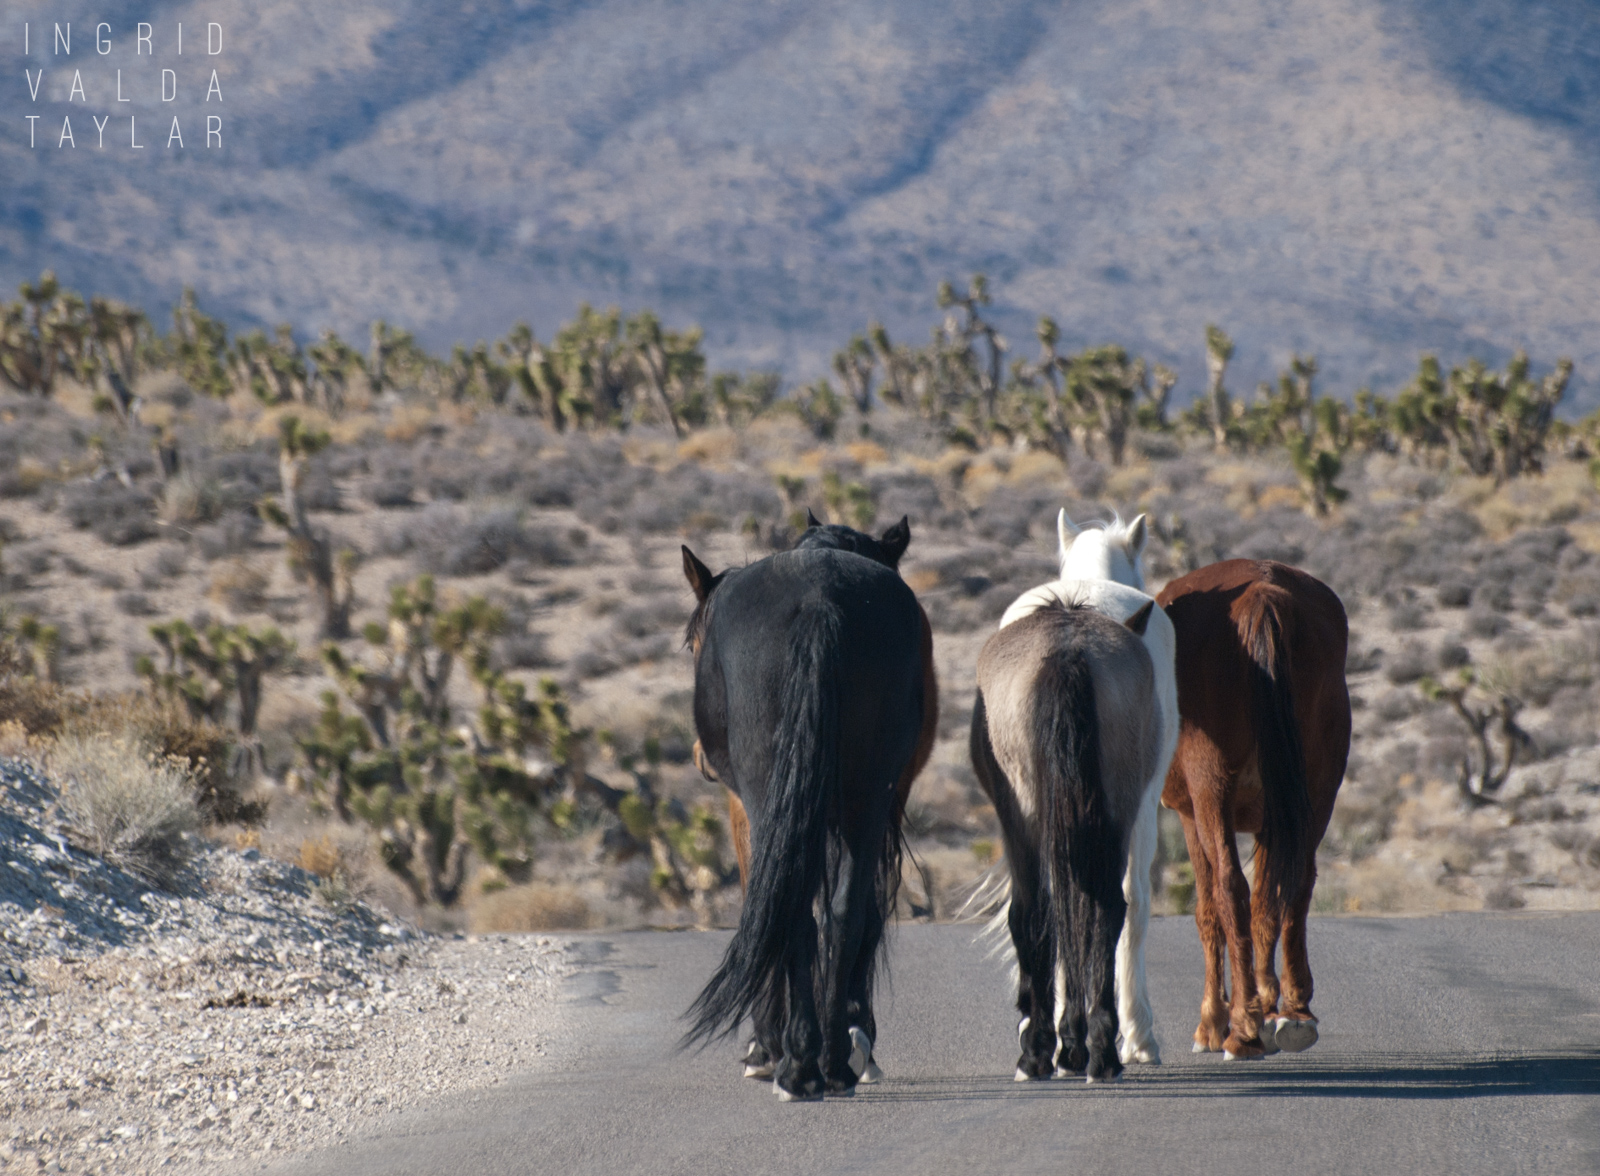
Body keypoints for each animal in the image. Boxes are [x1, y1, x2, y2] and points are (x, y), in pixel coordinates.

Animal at [678, 515, 934, 1100]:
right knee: (844, 910)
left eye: (691, 643)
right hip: (866, 798)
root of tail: (820, 601)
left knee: (798, 909)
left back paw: (798, 1062)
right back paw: (834, 1060)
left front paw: (764, 1046)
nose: (700, 758)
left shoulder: (744, 810)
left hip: (779, 797)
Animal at [1158, 560, 1344, 1056]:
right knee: (1295, 884)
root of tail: (1262, 595)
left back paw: (1240, 1027)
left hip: (1210, 789)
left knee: (1230, 888)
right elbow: (1268, 900)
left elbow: (1209, 909)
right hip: (1317, 791)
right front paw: (1269, 1004)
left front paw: (1214, 1021)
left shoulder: (1190, 815)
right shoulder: (1273, 821)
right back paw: (1294, 1012)